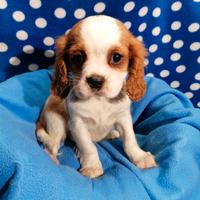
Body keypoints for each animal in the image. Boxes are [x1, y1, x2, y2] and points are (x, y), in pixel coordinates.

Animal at [36, 15, 158, 178]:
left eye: (116, 57)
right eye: (78, 57)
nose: (95, 81)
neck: (99, 100)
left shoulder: (123, 118)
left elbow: (130, 140)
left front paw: (139, 156)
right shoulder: (78, 125)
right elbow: (88, 147)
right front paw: (92, 166)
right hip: (57, 125)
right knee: (50, 146)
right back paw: (53, 160)